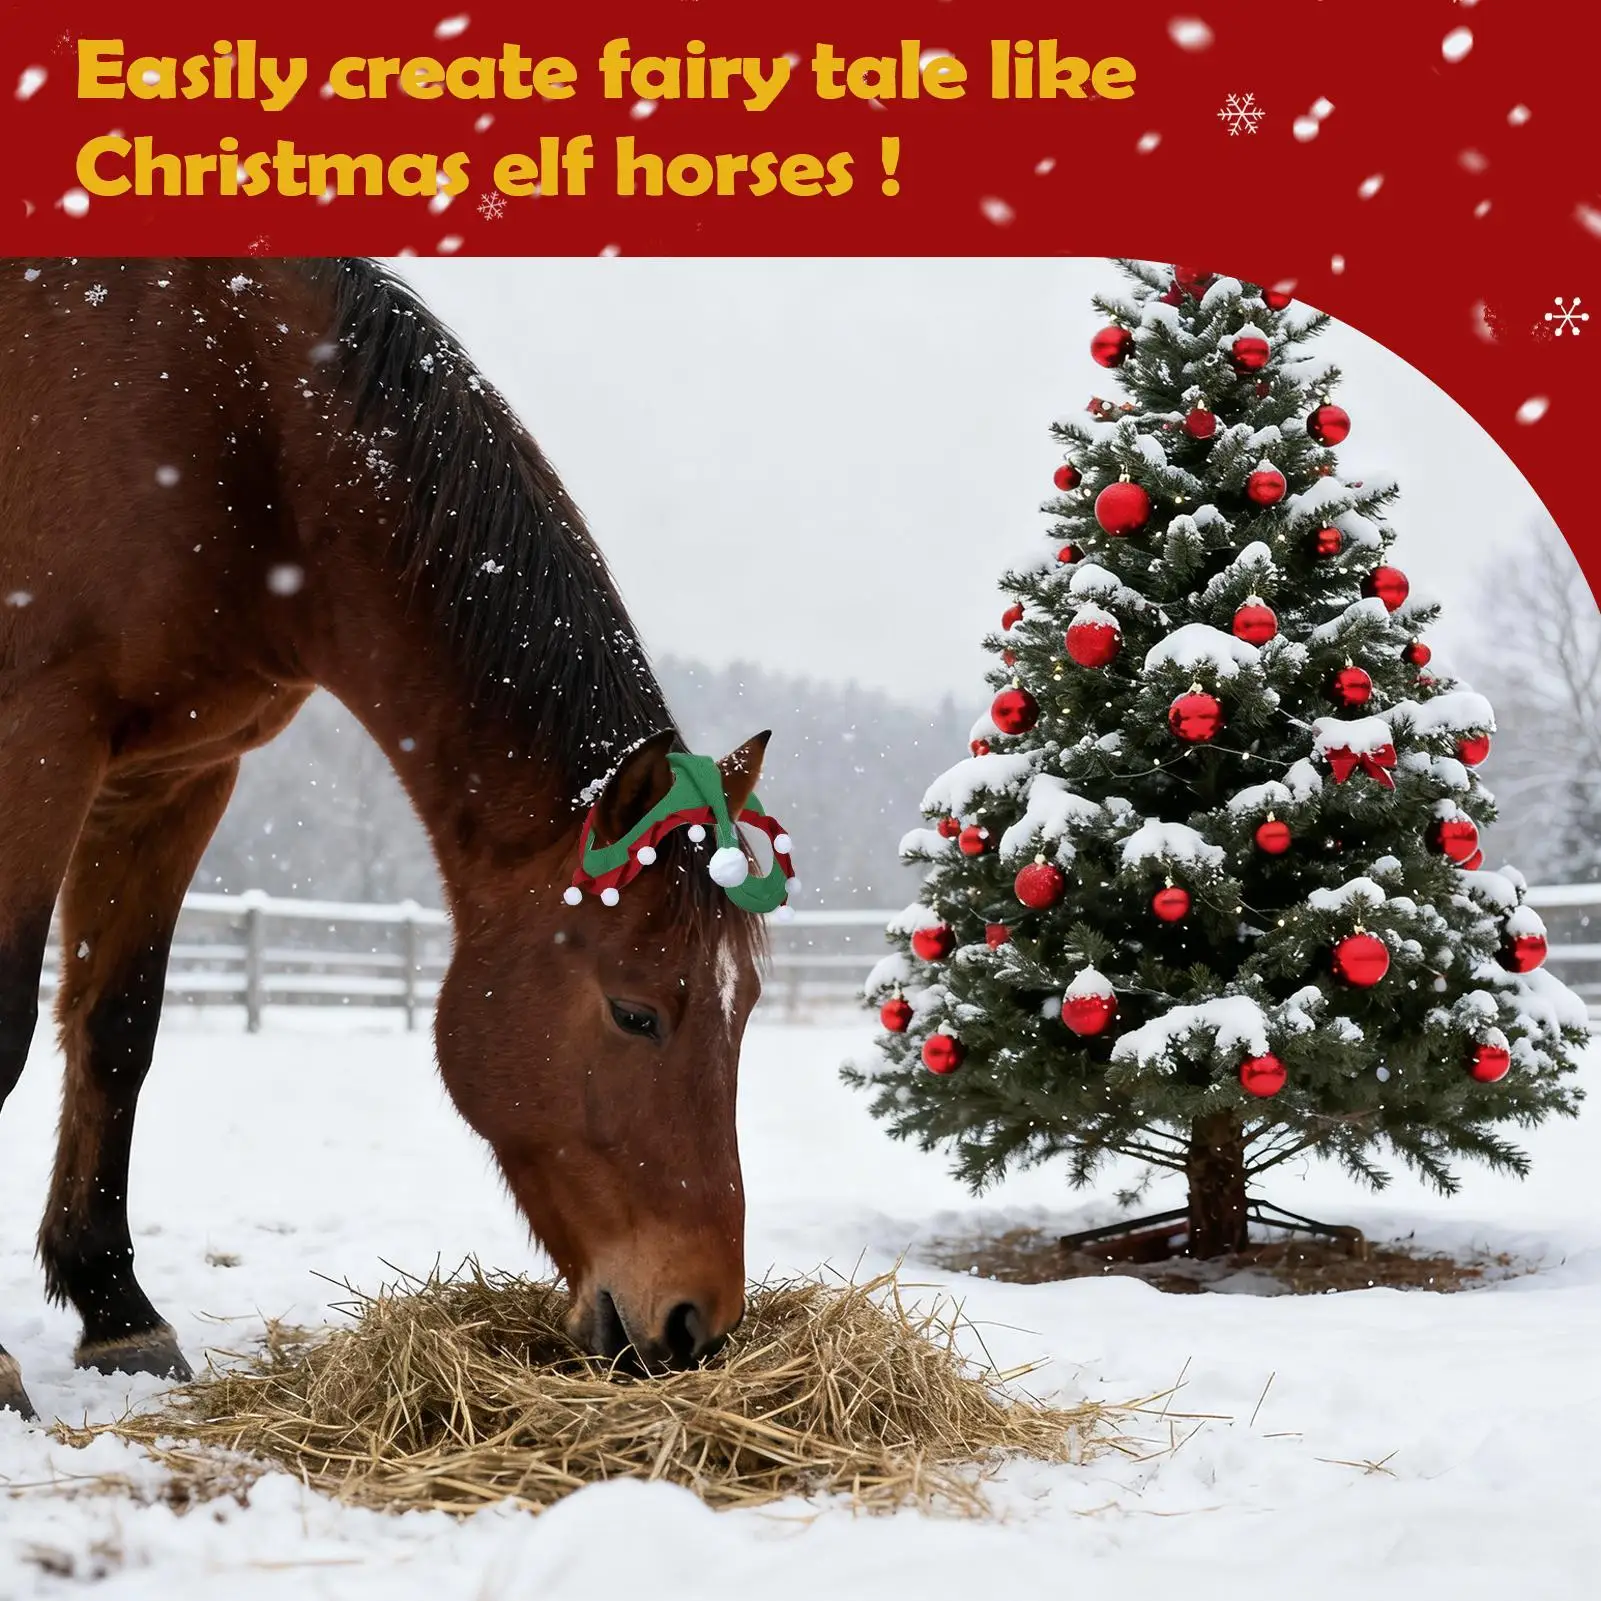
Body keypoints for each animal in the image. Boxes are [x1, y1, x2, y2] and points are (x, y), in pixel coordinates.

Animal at [0, 258, 770, 1418]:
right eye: (634, 1012)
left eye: (746, 1008)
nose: (696, 1324)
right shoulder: (35, 738)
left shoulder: (173, 776)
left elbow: (117, 1029)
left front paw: (117, 1313)